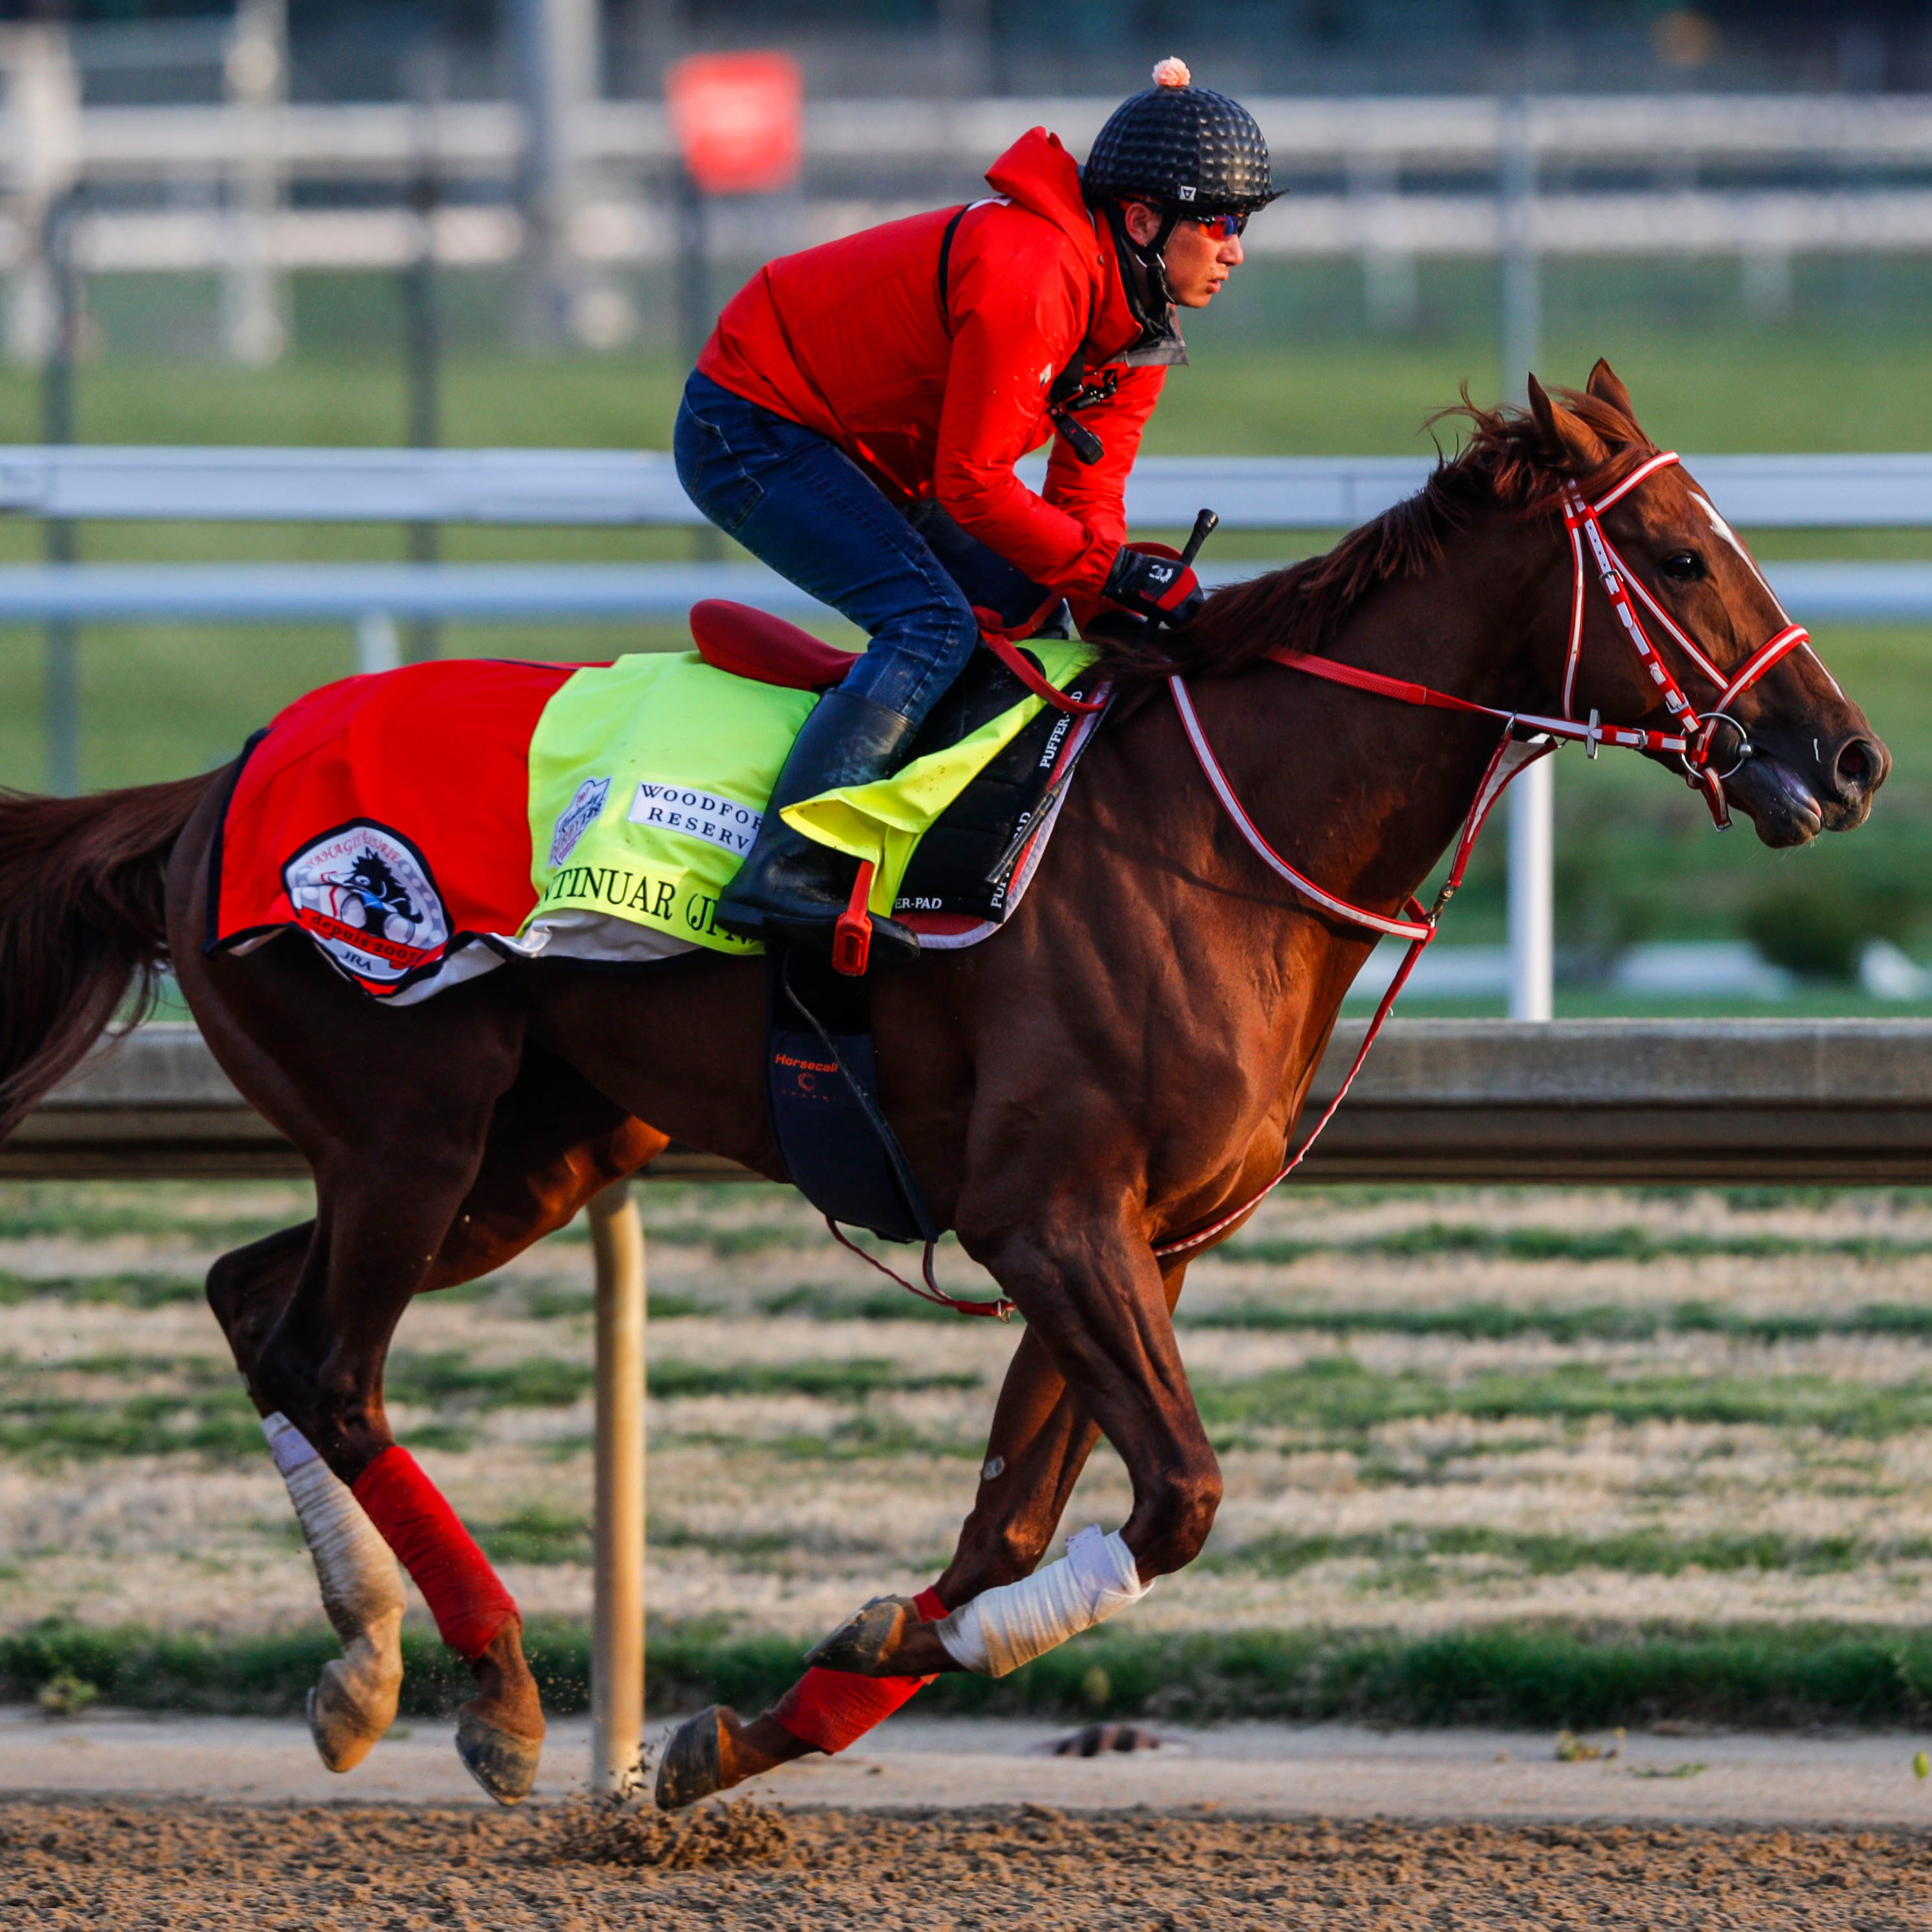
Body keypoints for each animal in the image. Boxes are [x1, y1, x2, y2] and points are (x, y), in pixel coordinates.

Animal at [0, 365, 1885, 1808]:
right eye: (1672, 553)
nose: (1850, 758)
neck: (1216, 840)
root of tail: (221, 776)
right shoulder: (1045, 1219)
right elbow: (1173, 1498)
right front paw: (880, 1664)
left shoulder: (1142, 1239)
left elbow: (1013, 1519)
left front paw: (772, 1715)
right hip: (413, 1118)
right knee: (333, 1362)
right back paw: (498, 1692)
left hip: (531, 1150)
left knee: (258, 1305)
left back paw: (367, 1666)